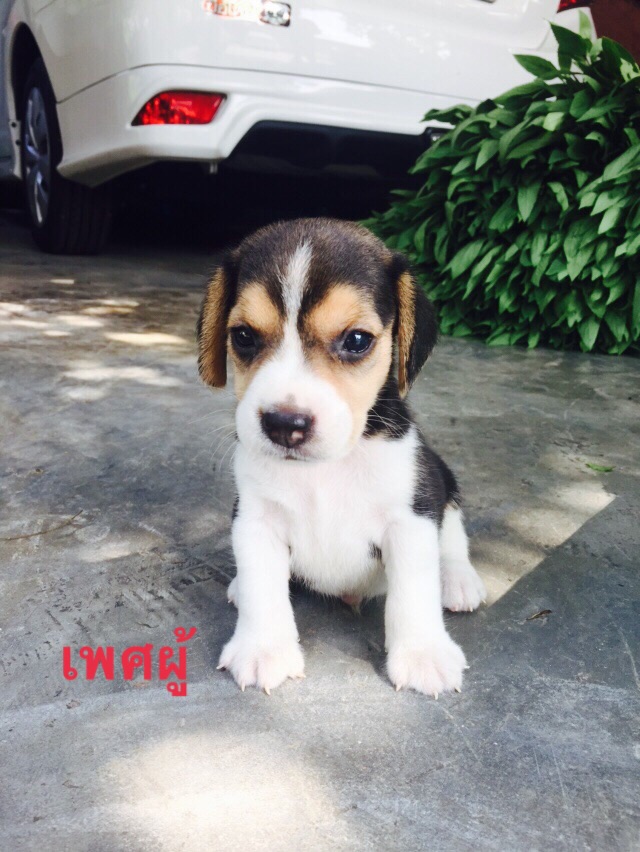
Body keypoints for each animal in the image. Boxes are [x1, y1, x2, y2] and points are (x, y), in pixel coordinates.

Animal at [197, 218, 486, 696]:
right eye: (243, 336)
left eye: (356, 340)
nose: (284, 423)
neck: (324, 471)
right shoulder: (255, 517)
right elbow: (262, 586)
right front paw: (263, 649)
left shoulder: (411, 518)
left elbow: (413, 592)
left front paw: (423, 654)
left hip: (440, 478)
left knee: (453, 533)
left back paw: (458, 579)